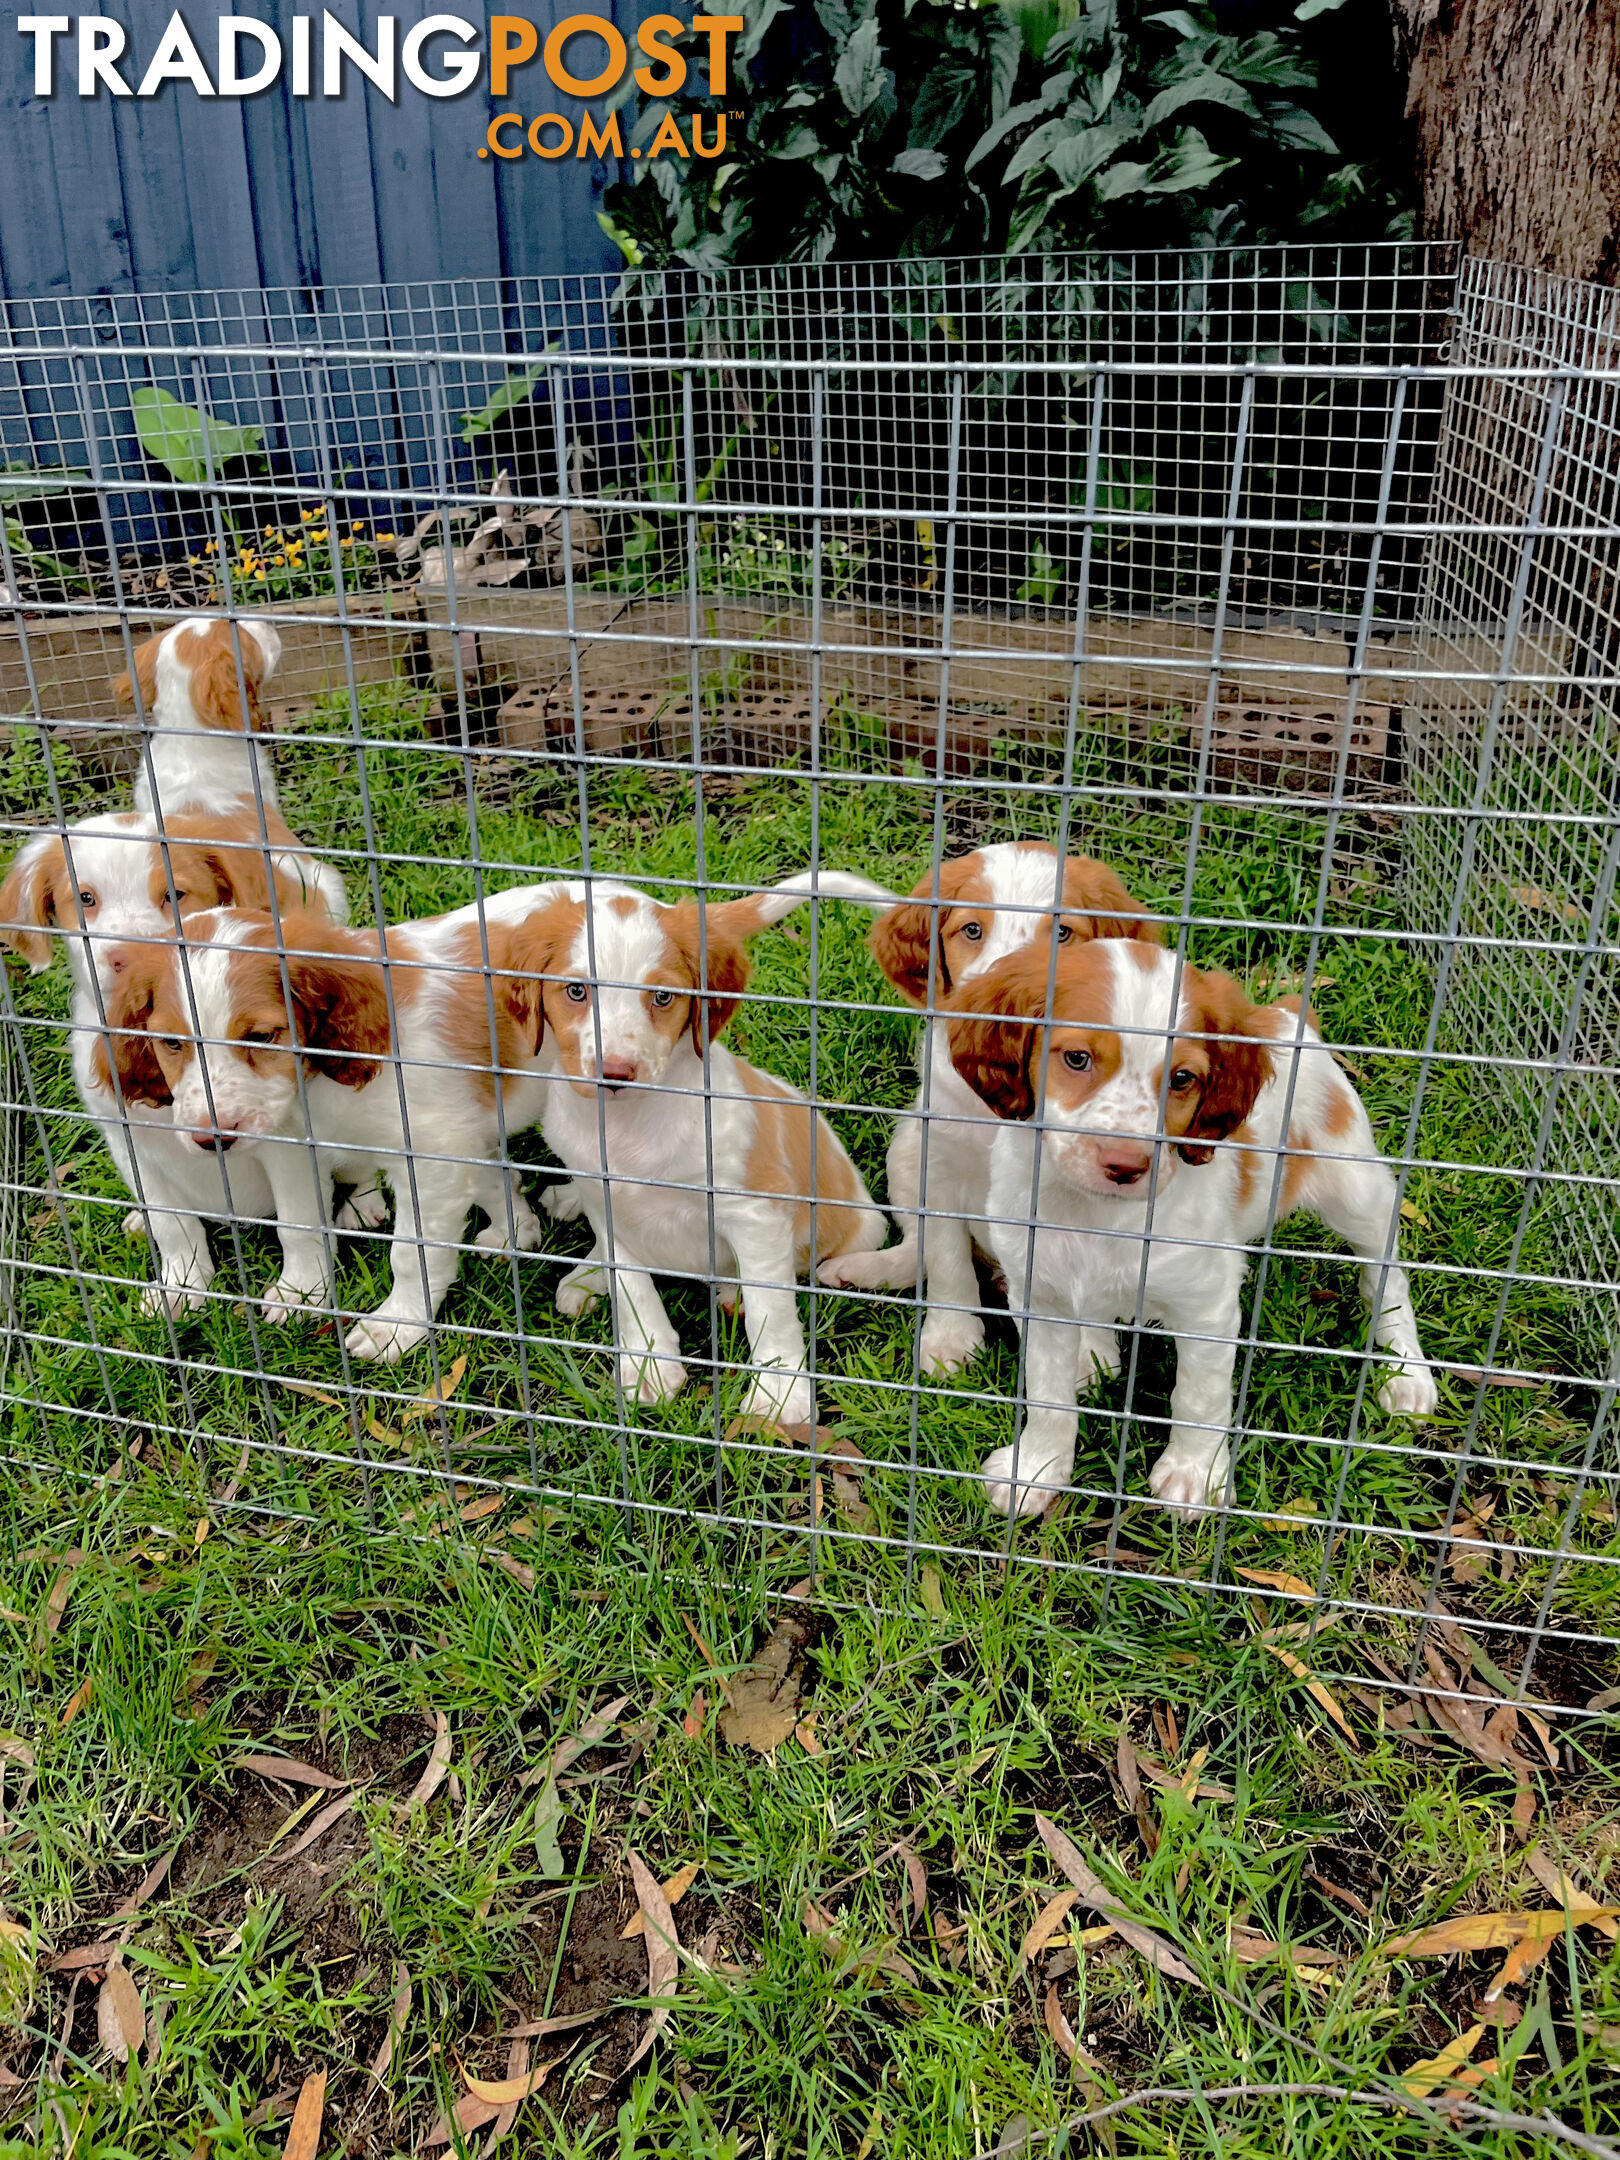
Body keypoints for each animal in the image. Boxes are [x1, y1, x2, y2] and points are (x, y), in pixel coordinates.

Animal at [0, 812, 349, 1313]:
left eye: (175, 894)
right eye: (84, 898)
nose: (126, 957)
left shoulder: (288, 1144)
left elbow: (299, 1222)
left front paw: (302, 1292)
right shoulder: (129, 1142)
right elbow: (172, 1223)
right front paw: (182, 1286)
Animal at [527, 868, 894, 1425]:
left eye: (662, 997)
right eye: (575, 991)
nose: (615, 1072)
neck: (630, 1123)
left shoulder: (755, 1213)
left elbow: (770, 1311)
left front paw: (779, 1396)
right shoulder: (604, 1199)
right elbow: (633, 1289)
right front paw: (652, 1367)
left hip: (857, 1231)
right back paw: (586, 1274)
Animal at [825, 838, 1166, 1365]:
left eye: (1063, 933)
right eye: (971, 930)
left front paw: (1085, 1355)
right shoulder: (939, 1165)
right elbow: (947, 1261)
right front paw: (950, 1339)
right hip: (905, 1149)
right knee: (920, 1248)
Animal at [946, 941, 1442, 1520]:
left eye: (1182, 1079)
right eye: (1077, 1059)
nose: (1126, 1165)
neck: (1096, 1214)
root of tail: (1284, 1016)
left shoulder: (1208, 1307)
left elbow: (1198, 1399)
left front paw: (1193, 1477)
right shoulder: (1038, 1293)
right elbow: (1047, 1395)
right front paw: (1036, 1470)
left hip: (1355, 1188)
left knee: (1386, 1276)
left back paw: (1407, 1373)